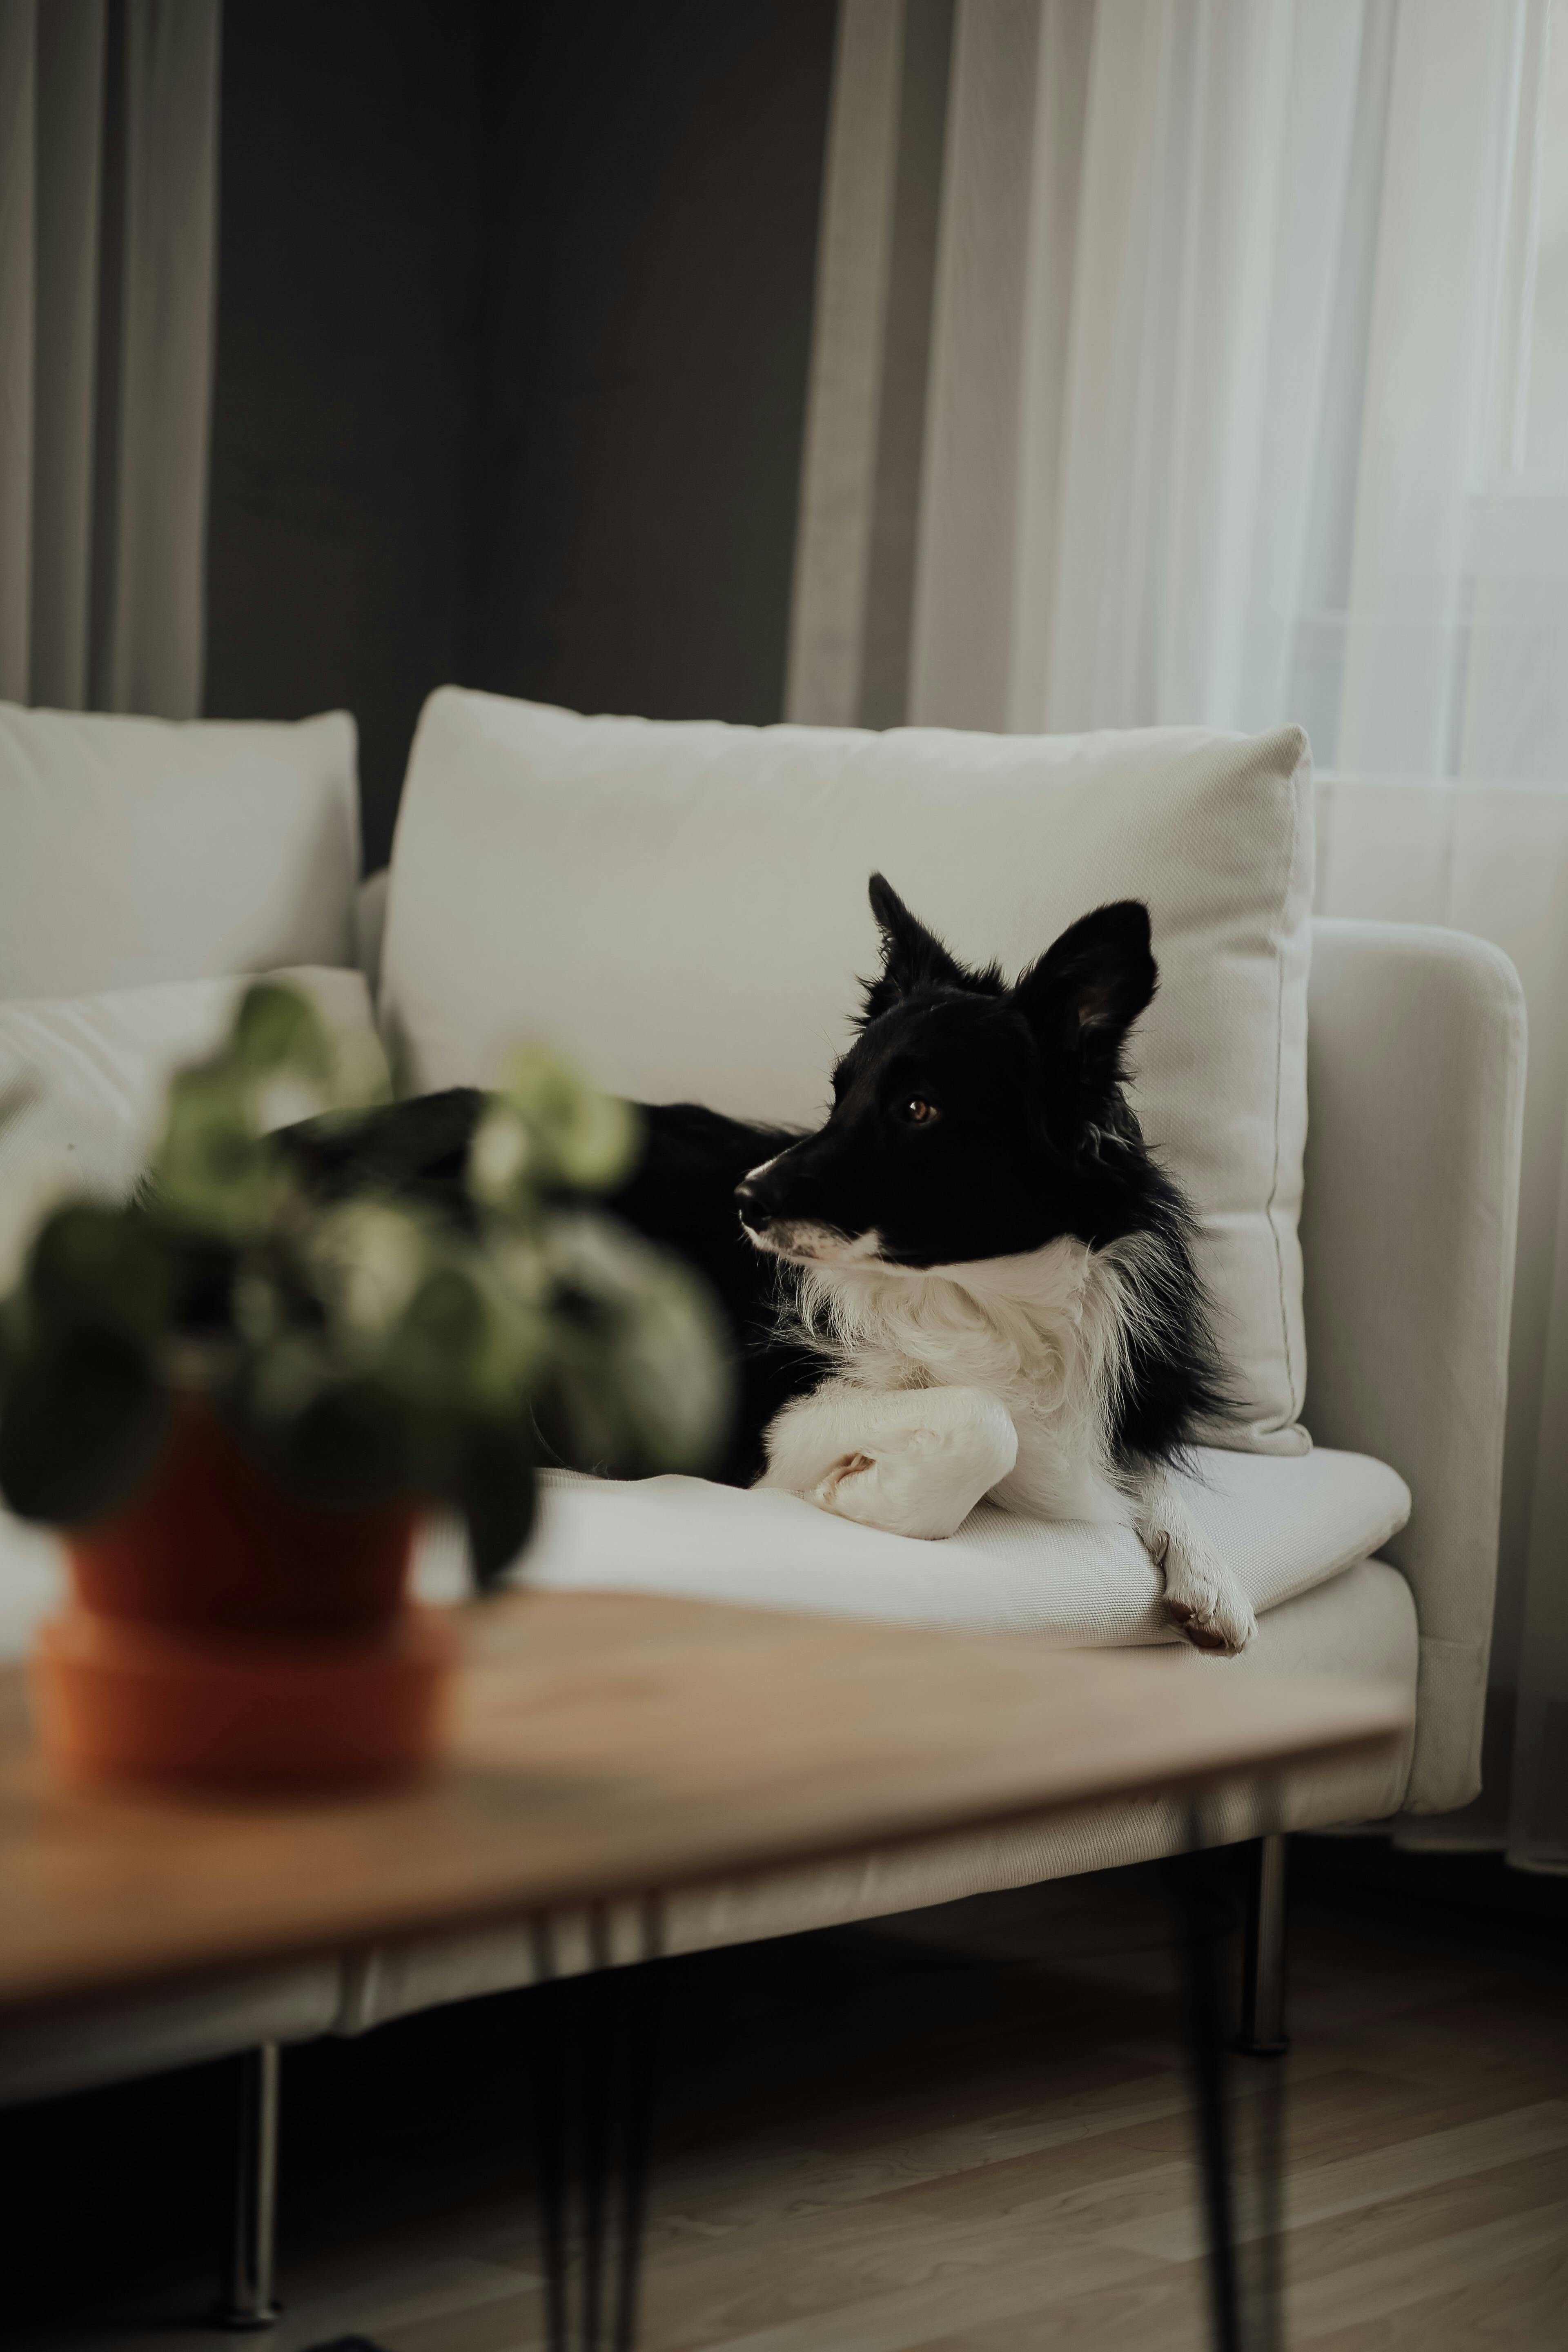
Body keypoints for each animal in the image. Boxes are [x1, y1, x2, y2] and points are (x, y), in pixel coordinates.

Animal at [282, 880, 1260, 1656]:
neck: (979, 1296)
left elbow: (1134, 1458)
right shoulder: (749, 1422)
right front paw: (870, 1494)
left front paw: (1212, 1576)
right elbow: (985, 1422)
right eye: (839, 1094)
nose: (745, 1203)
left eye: (918, 1108)